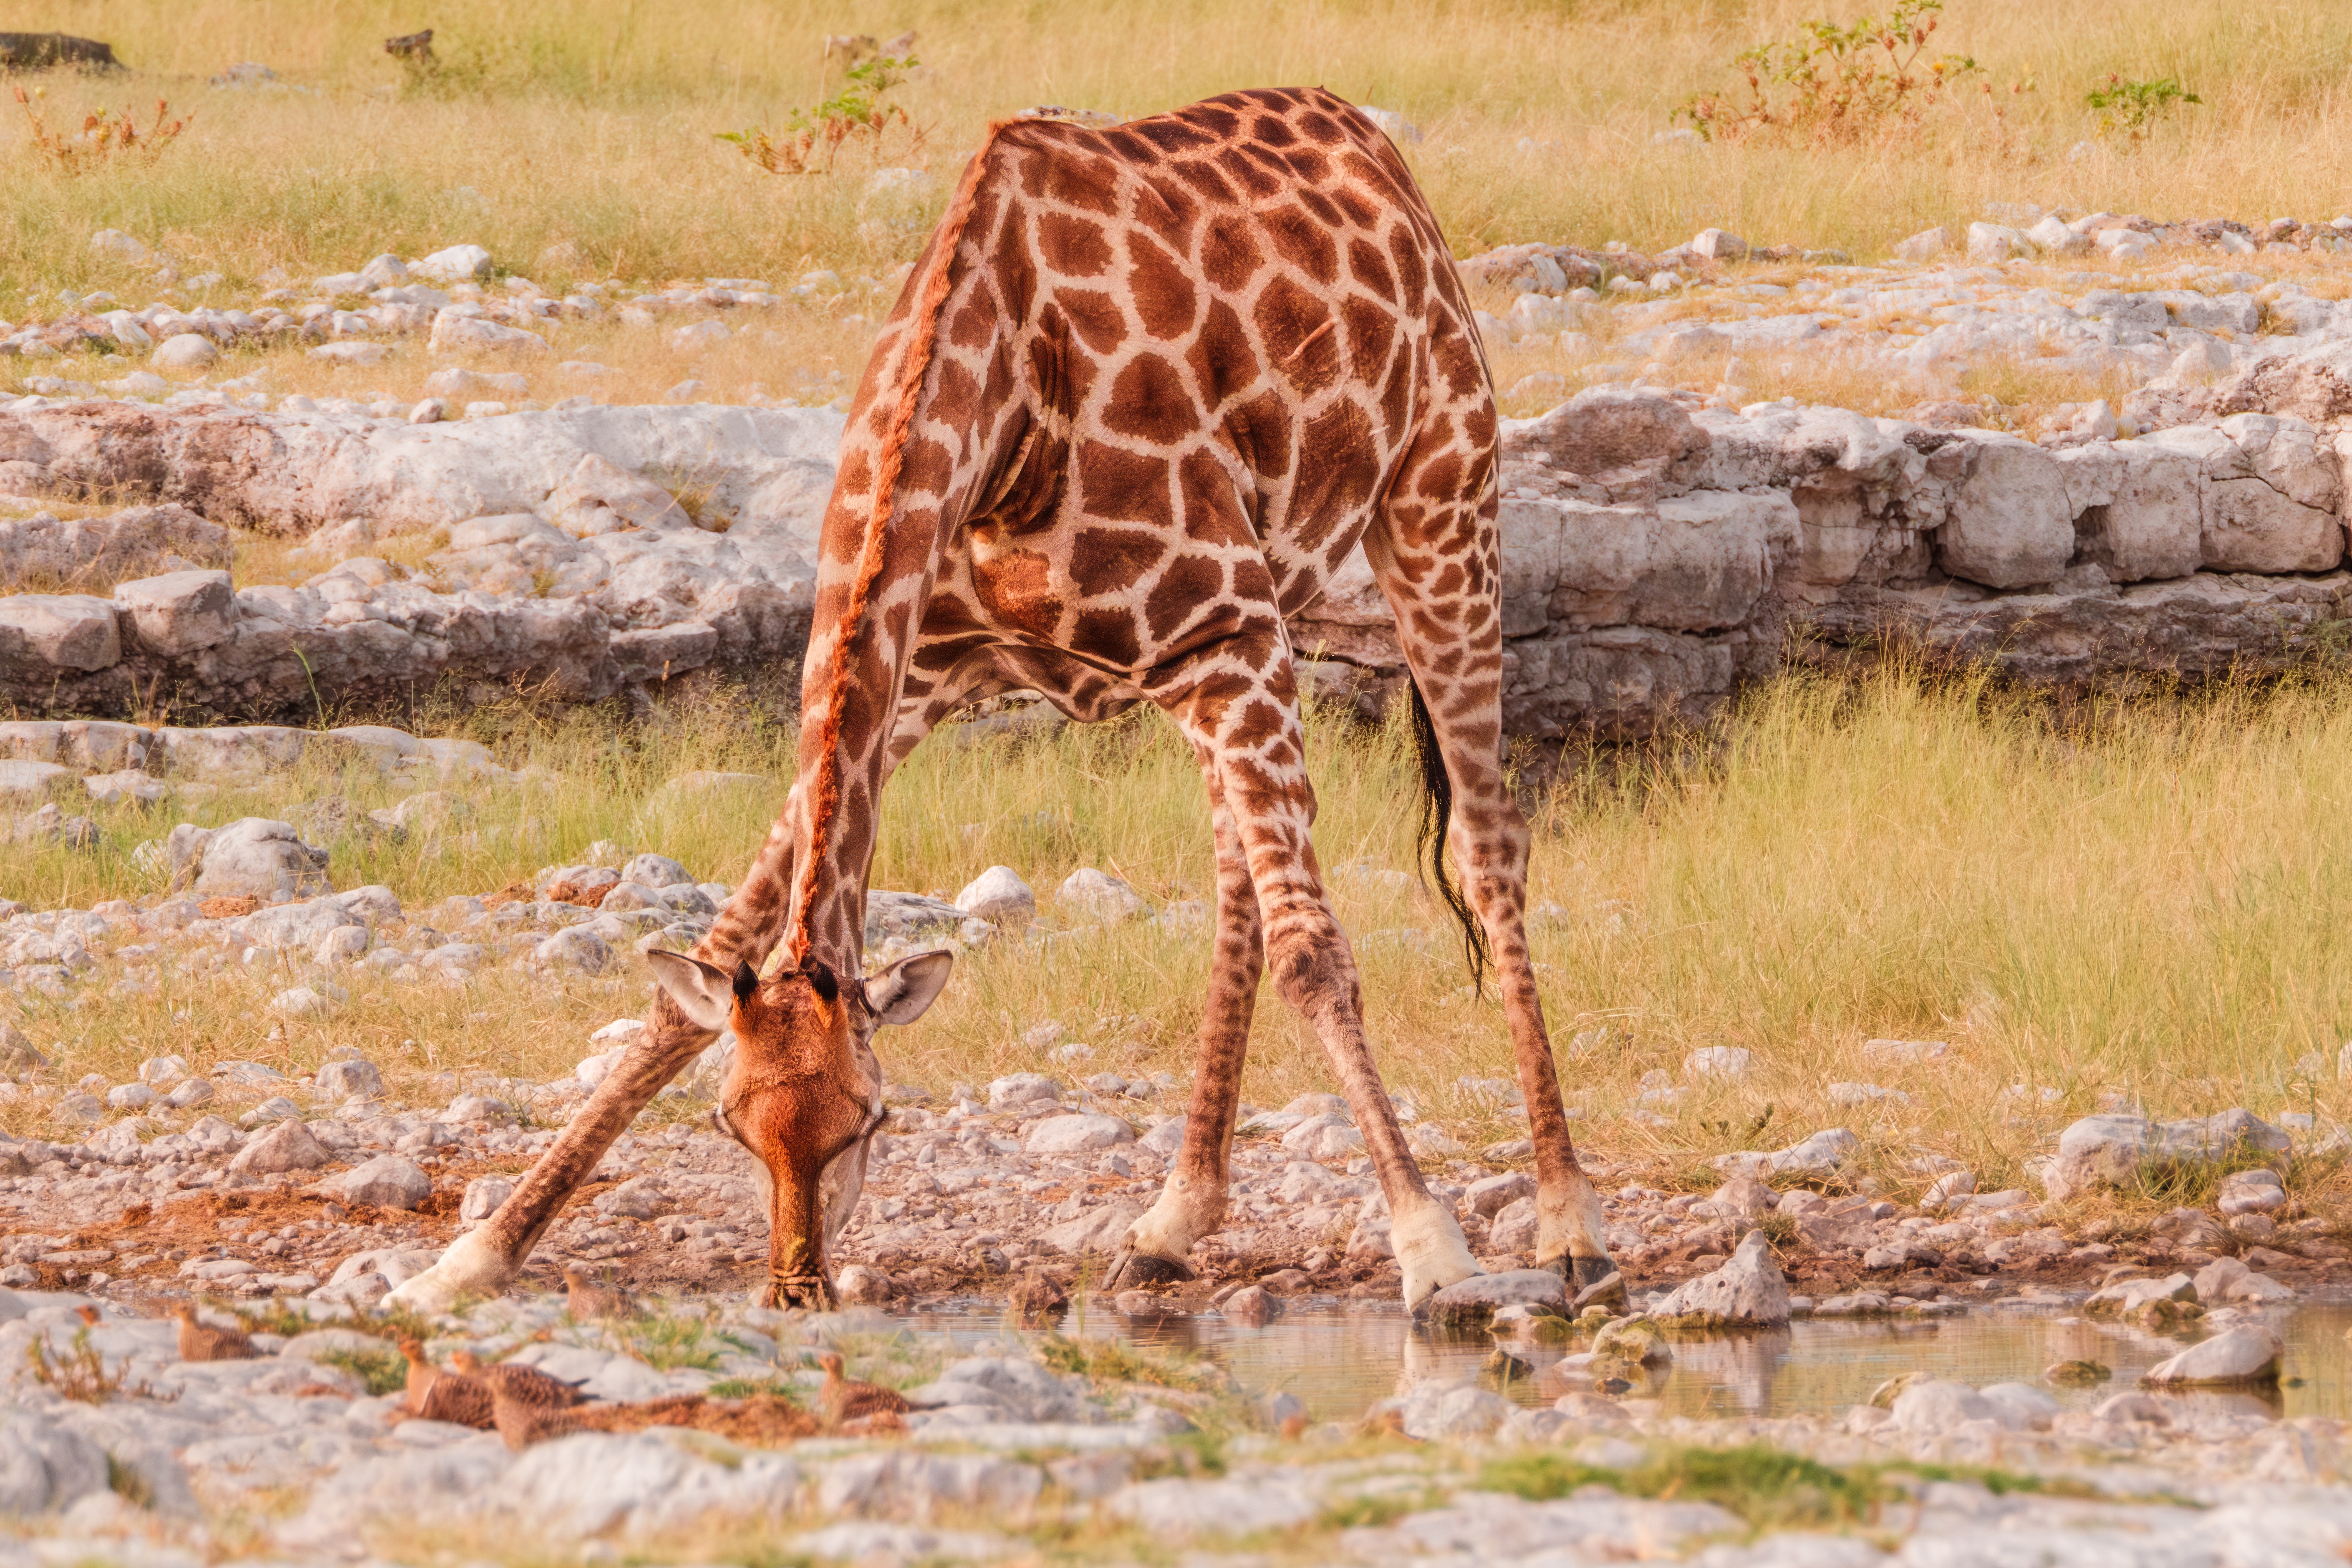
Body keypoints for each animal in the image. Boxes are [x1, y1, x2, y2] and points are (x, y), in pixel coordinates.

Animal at [389, 86, 1618, 1315]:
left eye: (871, 1118)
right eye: (732, 1123)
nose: (797, 1289)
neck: (1005, 409)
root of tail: (1361, 137)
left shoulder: (1225, 631)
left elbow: (1319, 952)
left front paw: (1434, 1249)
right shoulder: (914, 682)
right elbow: (702, 960)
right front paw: (472, 1255)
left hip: (1436, 507)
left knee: (1483, 845)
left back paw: (1570, 1227)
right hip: (1252, 636)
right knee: (1241, 885)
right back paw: (1171, 1222)